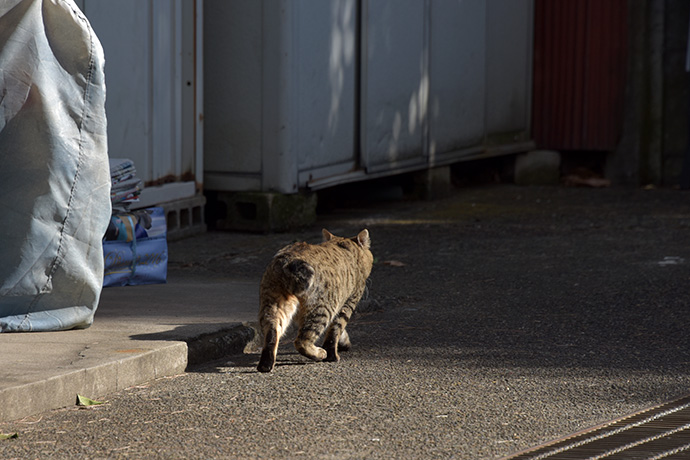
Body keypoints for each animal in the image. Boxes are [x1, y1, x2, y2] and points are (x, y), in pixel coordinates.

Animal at [255, 228, 370, 372]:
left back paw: (265, 365)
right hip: (322, 309)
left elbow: (338, 330)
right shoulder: (348, 302)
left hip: (274, 304)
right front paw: (332, 356)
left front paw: (344, 342)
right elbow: (335, 330)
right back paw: (320, 354)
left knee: (271, 333)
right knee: (301, 342)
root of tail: (287, 261)